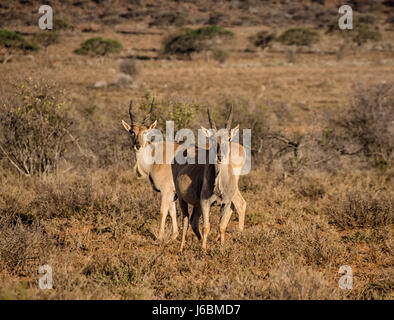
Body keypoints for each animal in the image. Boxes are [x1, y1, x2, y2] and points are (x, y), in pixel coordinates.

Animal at [176, 106, 246, 251]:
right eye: (213, 139)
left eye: (229, 138)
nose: (220, 157)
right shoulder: (205, 203)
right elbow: (206, 226)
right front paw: (203, 250)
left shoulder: (225, 203)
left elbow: (222, 226)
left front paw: (221, 250)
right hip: (182, 199)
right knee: (186, 220)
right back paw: (182, 247)